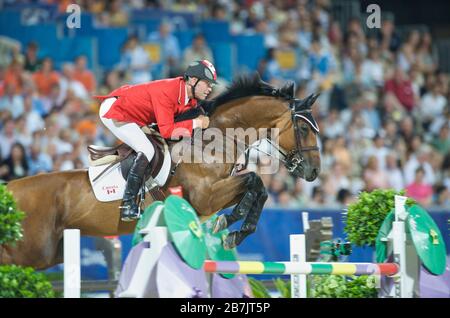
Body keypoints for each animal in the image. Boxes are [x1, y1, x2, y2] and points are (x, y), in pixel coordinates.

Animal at [1, 73, 322, 270]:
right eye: (304, 128)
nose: (315, 172)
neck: (213, 142)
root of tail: (11, 191)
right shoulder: (205, 197)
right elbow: (255, 182)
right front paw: (228, 224)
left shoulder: (217, 195)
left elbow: (258, 191)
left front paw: (233, 231)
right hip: (31, 252)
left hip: (47, 252)